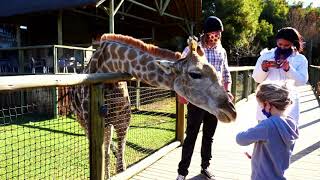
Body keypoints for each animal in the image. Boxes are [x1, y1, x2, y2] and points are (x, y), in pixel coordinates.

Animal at [70, 34, 236, 179]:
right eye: (195, 74)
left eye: (216, 71)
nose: (231, 111)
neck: (108, 67)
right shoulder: (94, 124)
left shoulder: (123, 123)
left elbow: (121, 166)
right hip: (85, 123)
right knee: (104, 153)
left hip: (107, 126)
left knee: (107, 152)